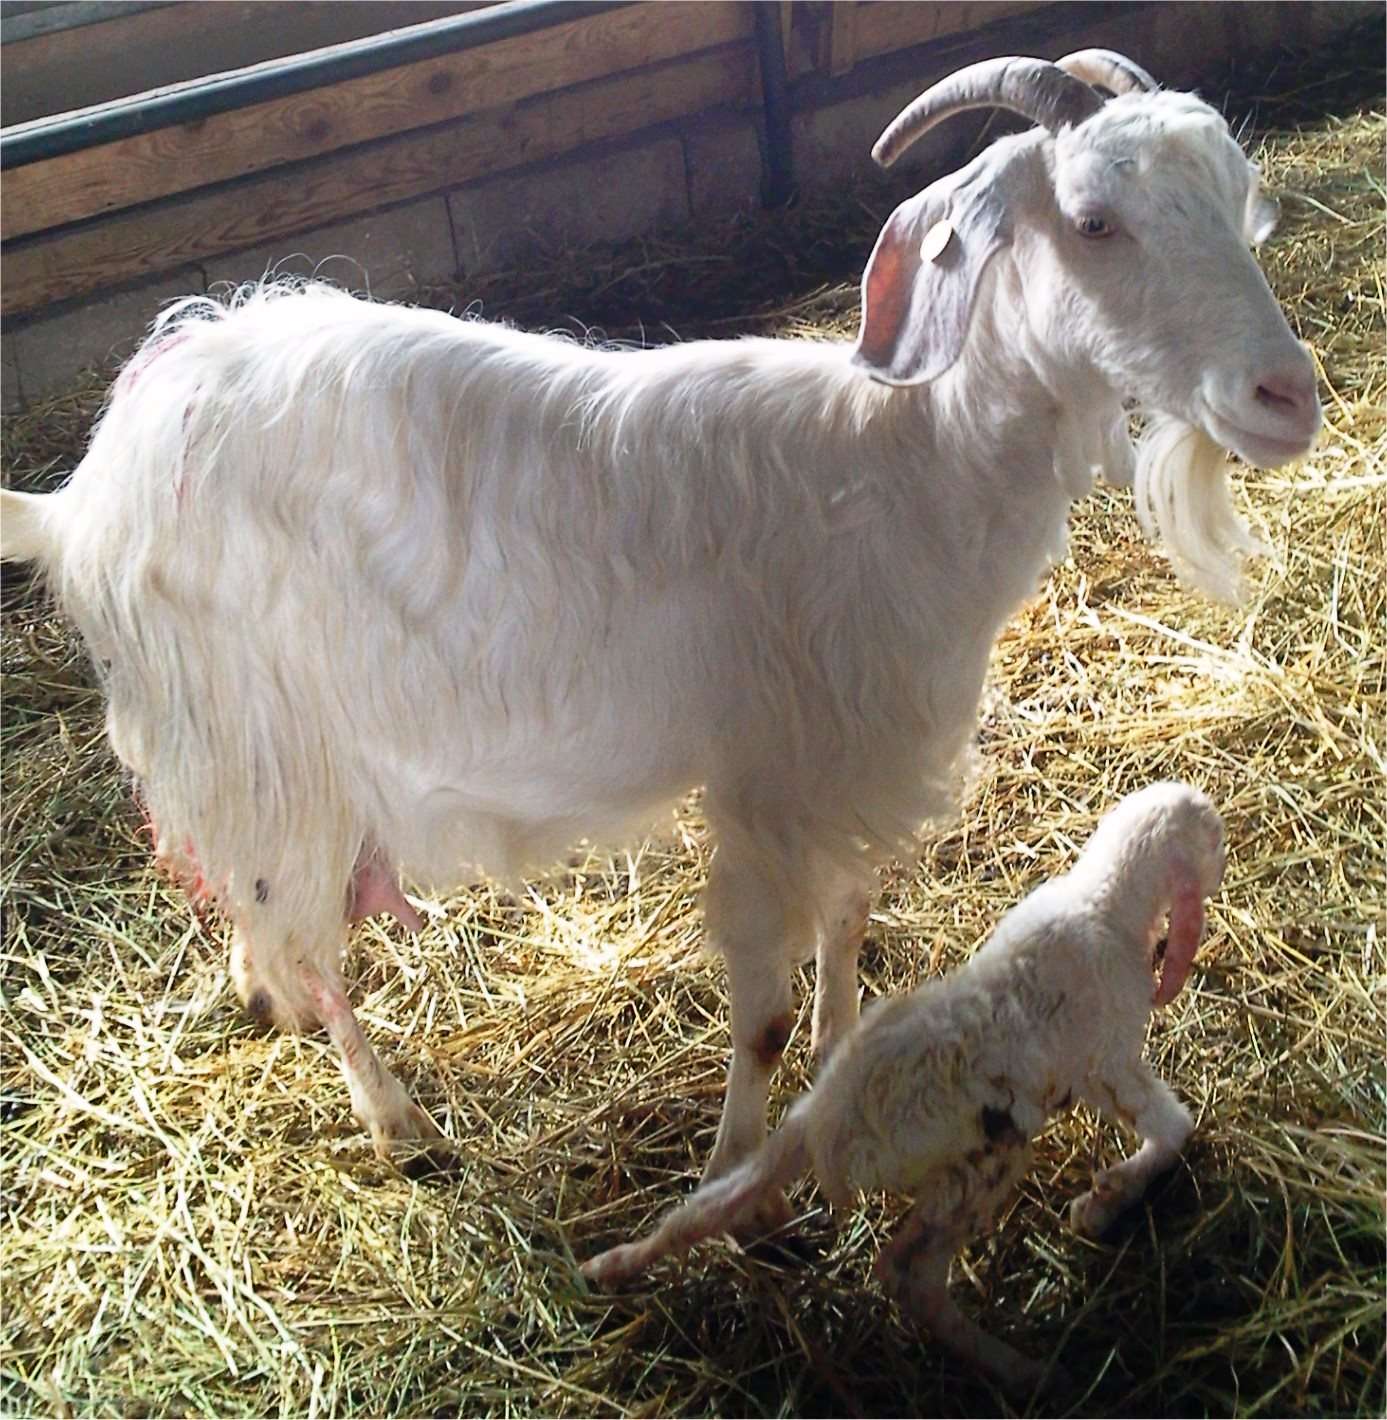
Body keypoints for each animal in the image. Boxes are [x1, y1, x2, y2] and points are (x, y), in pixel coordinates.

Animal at [0, 52, 1316, 1186]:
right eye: (1093, 220)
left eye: (1233, 194)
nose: (1285, 397)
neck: (904, 463)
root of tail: (85, 489)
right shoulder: (767, 779)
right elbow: (764, 1009)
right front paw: (734, 1165)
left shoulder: (850, 757)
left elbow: (848, 921)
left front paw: (840, 1050)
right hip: (260, 742)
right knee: (306, 941)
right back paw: (396, 1118)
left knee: (250, 906)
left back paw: (264, 1001)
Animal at [582, 783, 1227, 1394]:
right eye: (1213, 836)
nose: (1220, 866)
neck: (1103, 899)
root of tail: (828, 1126)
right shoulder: (1108, 1055)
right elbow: (1170, 1124)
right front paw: (1109, 1197)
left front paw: (1108, 1196)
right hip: (976, 1165)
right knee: (905, 1273)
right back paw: (1025, 1372)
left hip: (816, 1133)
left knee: (708, 1203)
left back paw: (612, 1265)